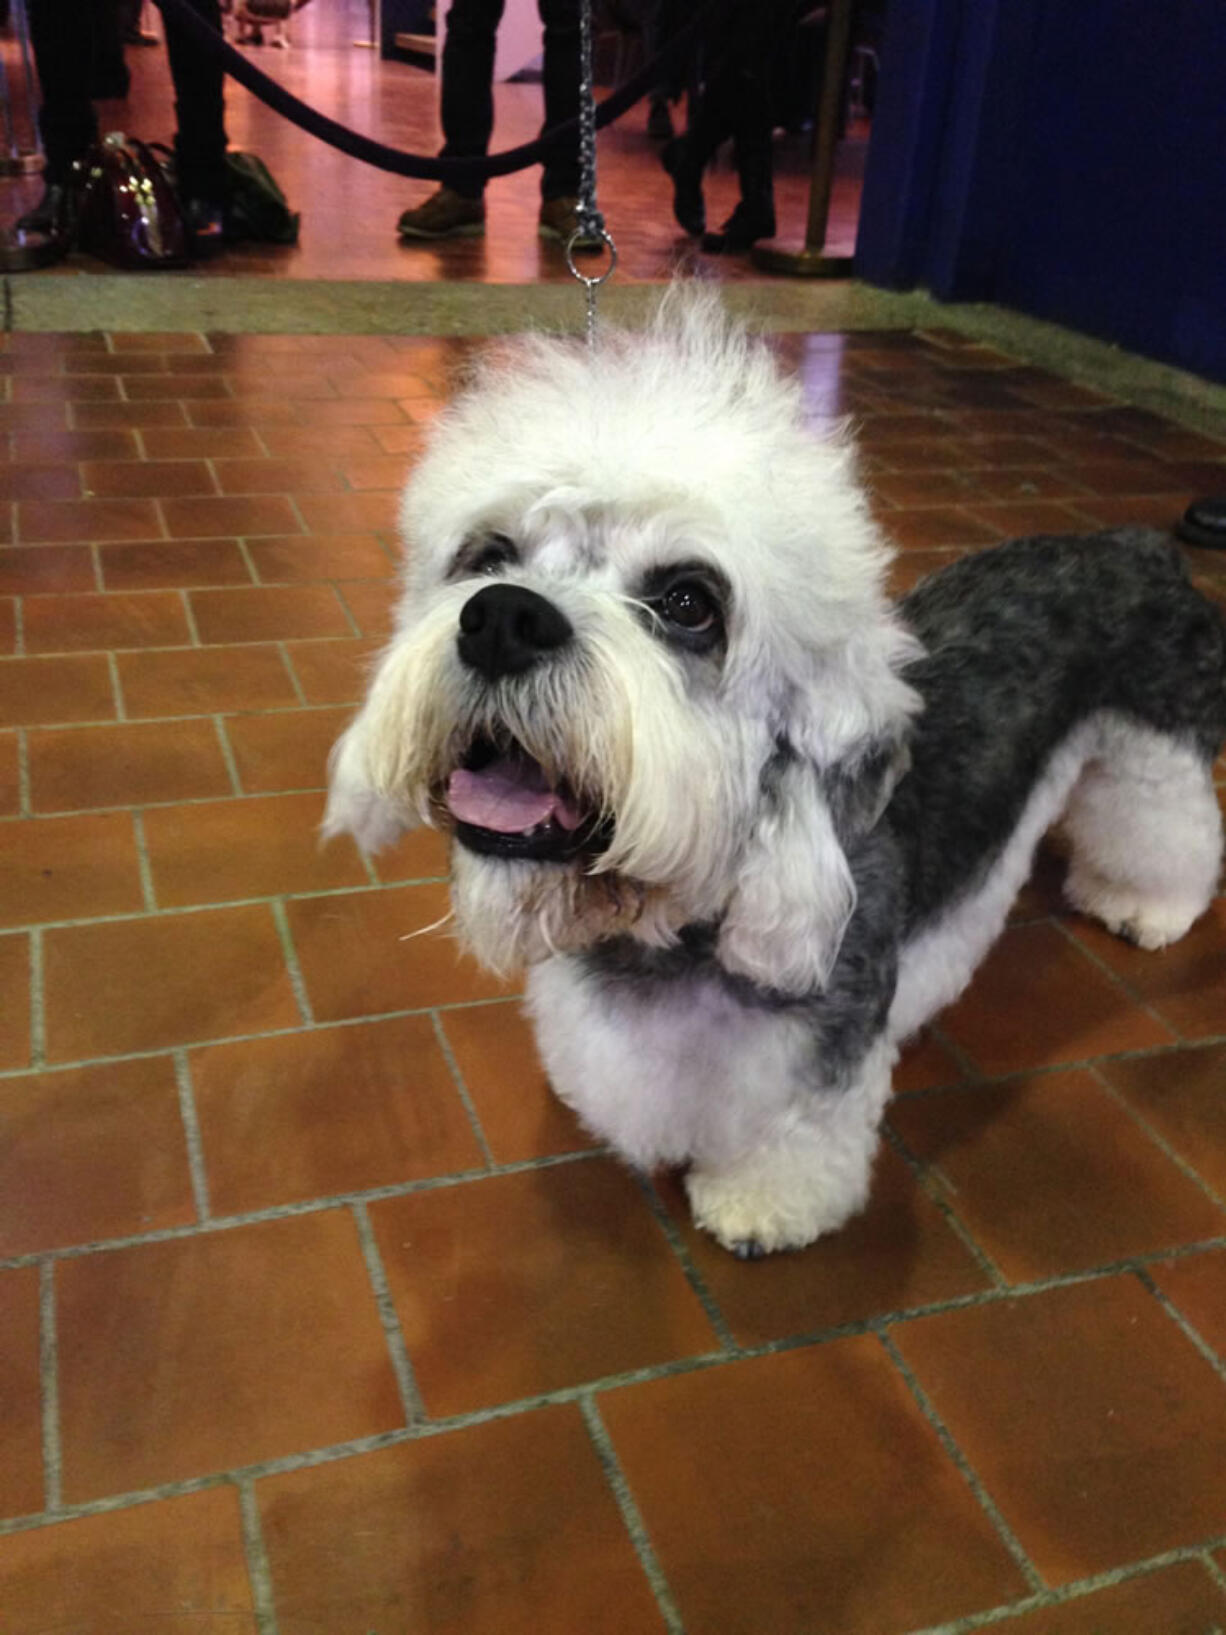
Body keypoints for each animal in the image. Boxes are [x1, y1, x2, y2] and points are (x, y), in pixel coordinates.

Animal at [318, 294, 1226, 1255]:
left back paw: (1146, 905)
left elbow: (794, 1134)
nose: (501, 619)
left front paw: (762, 1204)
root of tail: (1137, 545)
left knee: (1175, 835)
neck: (680, 919)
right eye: (488, 555)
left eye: (688, 602)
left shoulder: (817, 1050)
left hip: (1156, 760)